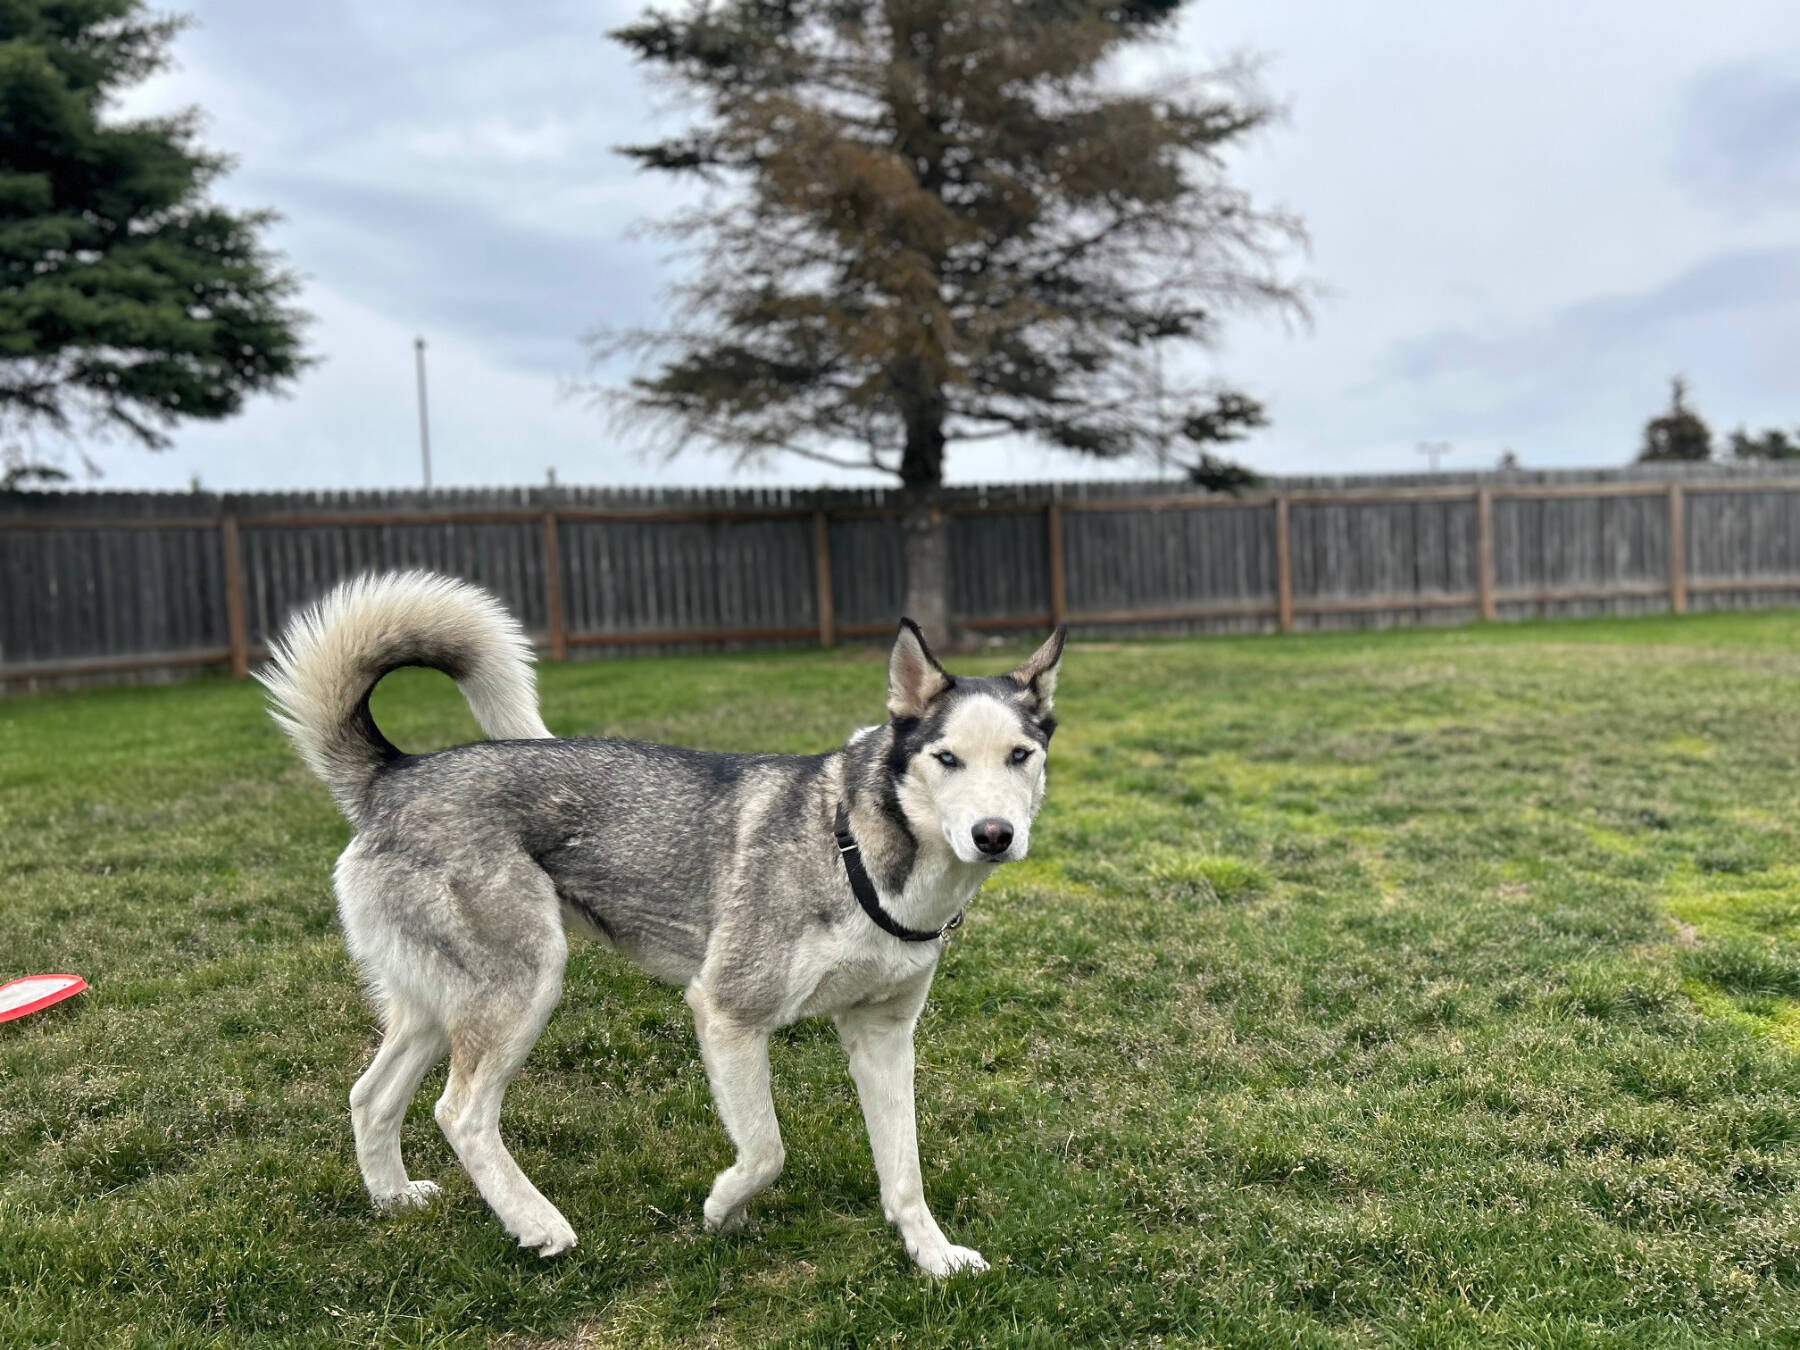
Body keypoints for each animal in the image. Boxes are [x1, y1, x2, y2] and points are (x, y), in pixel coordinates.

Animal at [261, 572, 1058, 1281]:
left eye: (1021, 756)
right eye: (947, 758)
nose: (995, 835)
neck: (857, 850)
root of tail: (395, 776)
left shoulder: (883, 1035)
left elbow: (904, 1172)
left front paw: (933, 1257)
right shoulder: (727, 1012)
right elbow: (766, 1151)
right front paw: (723, 1208)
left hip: (440, 1006)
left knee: (370, 1098)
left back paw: (392, 1200)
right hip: (525, 987)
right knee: (460, 1113)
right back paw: (537, 1223)